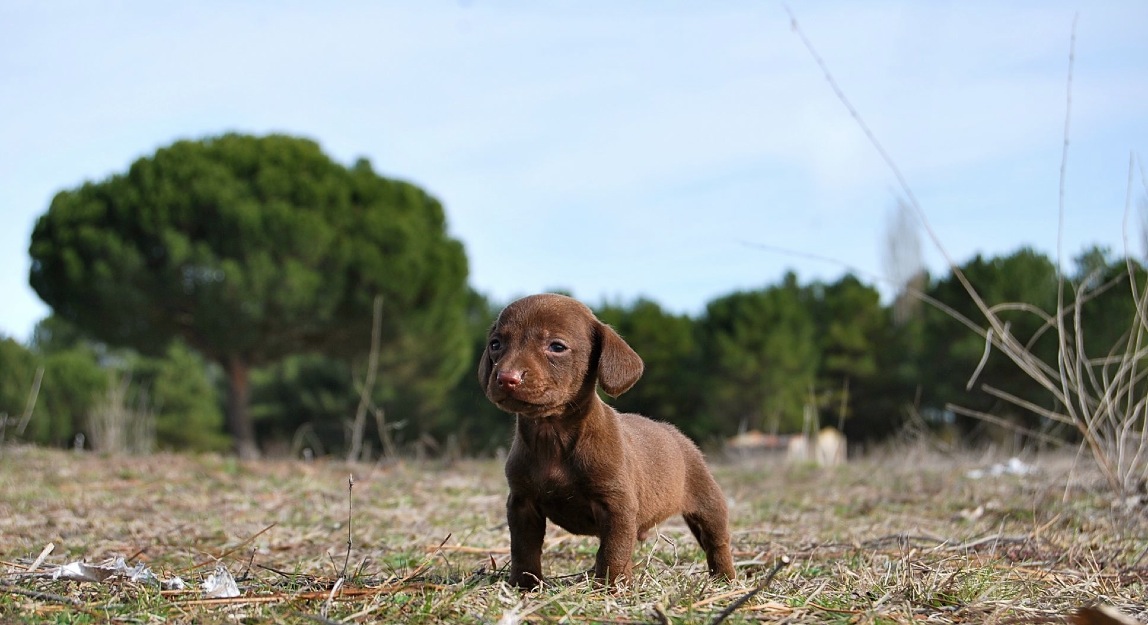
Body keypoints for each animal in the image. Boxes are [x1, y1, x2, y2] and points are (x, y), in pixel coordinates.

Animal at [477, 292, 734, 585]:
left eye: (556, 346)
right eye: (496, 344)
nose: (506, 377)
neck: (551, 434)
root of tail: (676, 434)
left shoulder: (616, 506)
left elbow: (613, 550)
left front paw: (612, 586)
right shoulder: (522, 503)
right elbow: (524, 548)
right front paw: (525, 585)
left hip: (707, 501)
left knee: (716, 541)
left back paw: (726, 578)